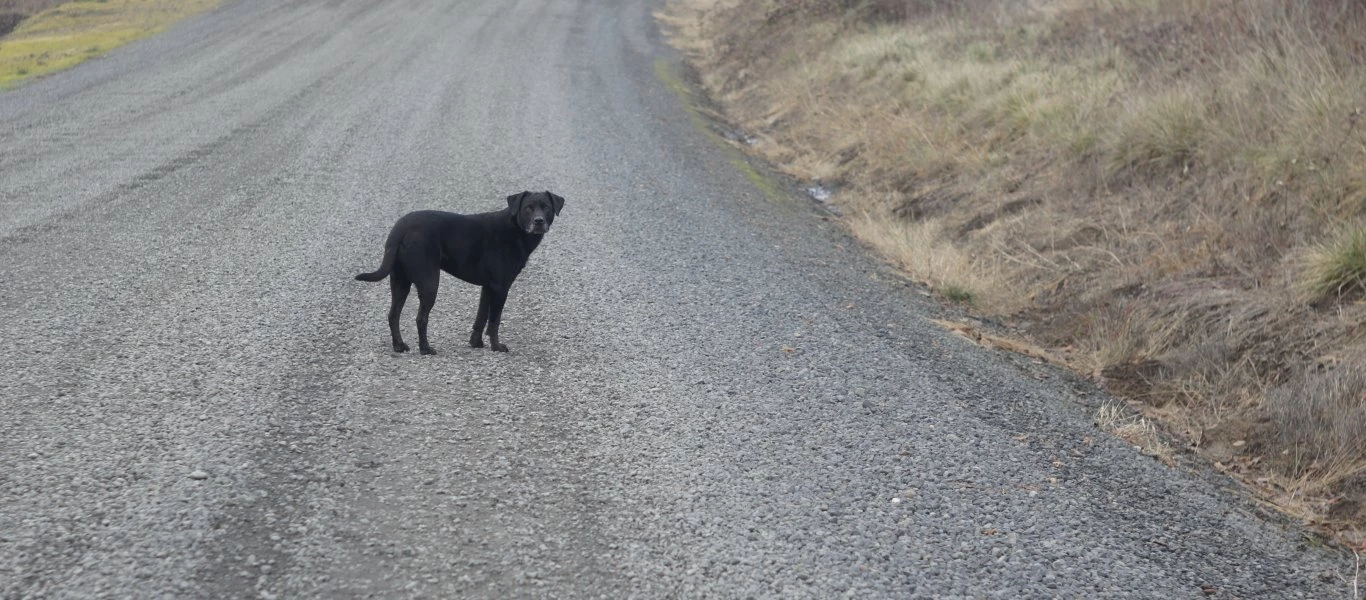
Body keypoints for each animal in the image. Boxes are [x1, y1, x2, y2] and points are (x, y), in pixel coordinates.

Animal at [357, 189, 565, 355]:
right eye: (528, 208)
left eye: (546, 207)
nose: (539, 221)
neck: (515, 229)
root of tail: (400, 229)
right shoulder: (500, 288)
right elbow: (494, 321)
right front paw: (497, 347)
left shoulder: (488, 287)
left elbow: (481, 318)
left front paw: (476, 342)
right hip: (429, 282)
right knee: (421, 318)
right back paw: (426, 349)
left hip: (400, 281)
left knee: (393, 315)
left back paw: (399, 346)